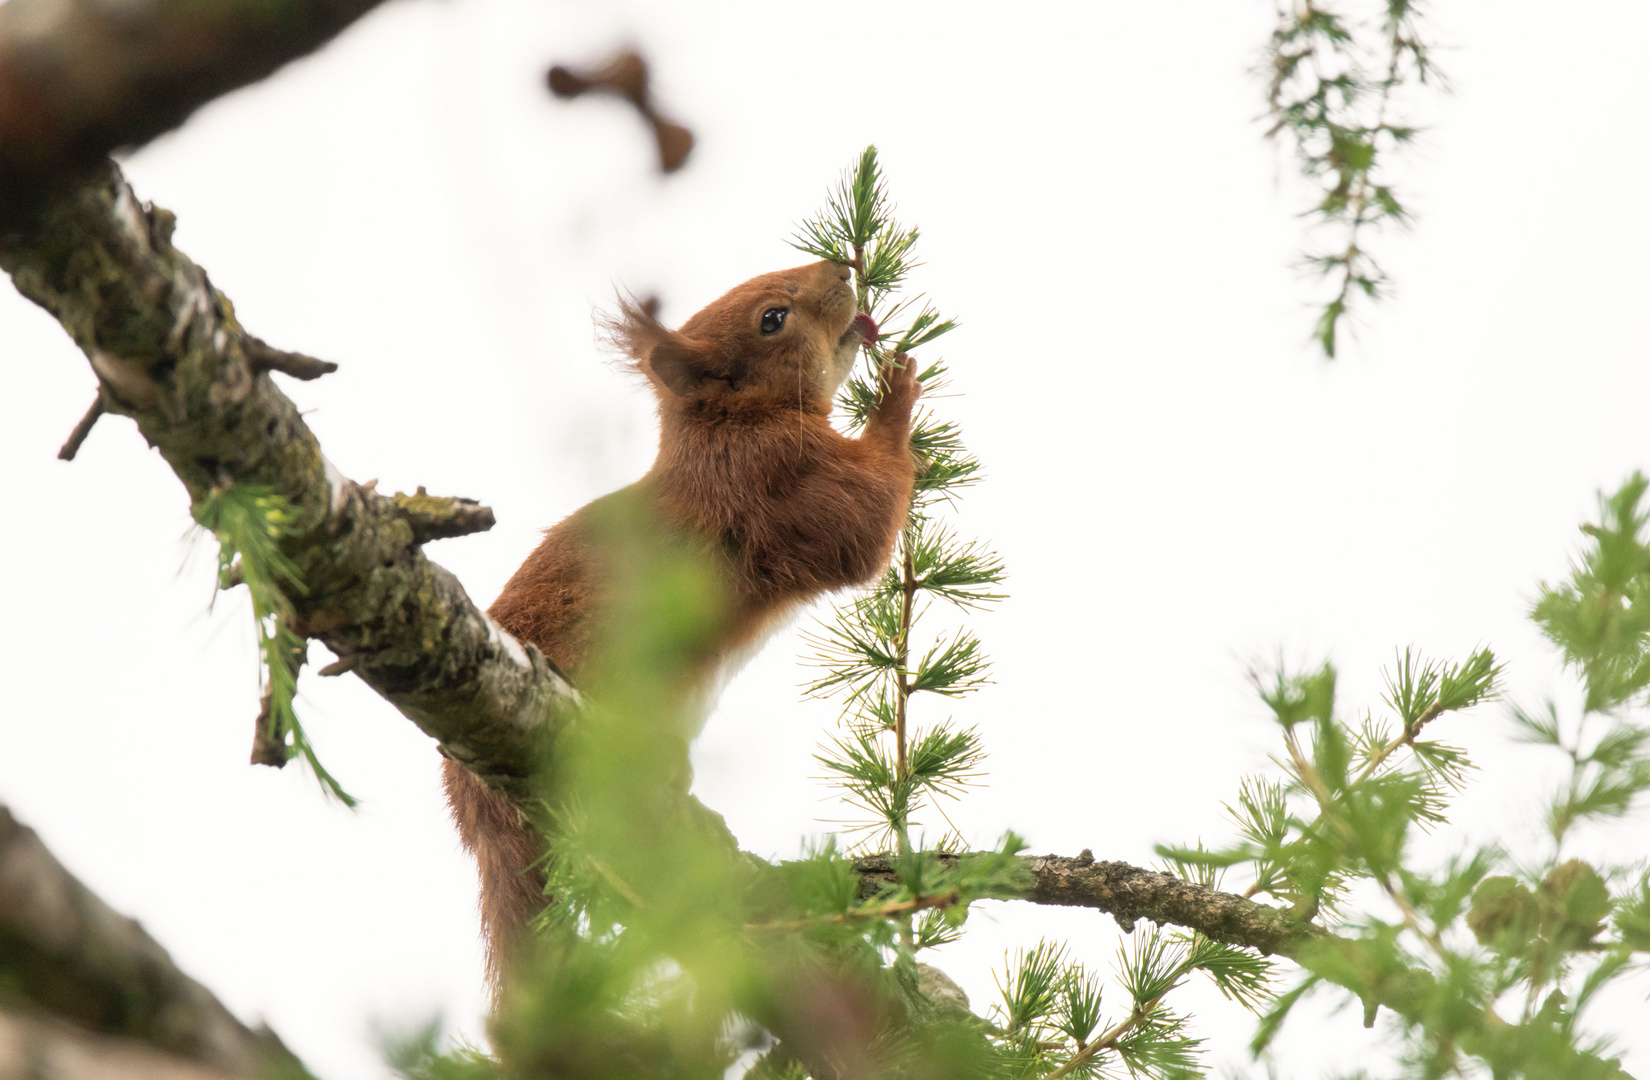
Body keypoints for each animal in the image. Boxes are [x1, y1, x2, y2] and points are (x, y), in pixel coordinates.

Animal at [445, 260, 924, 982]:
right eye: (772, 318)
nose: (841, 267)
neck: (727, 426)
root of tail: (479, 815)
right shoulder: (774, 475)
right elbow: (863, 525)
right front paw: (899, 388)